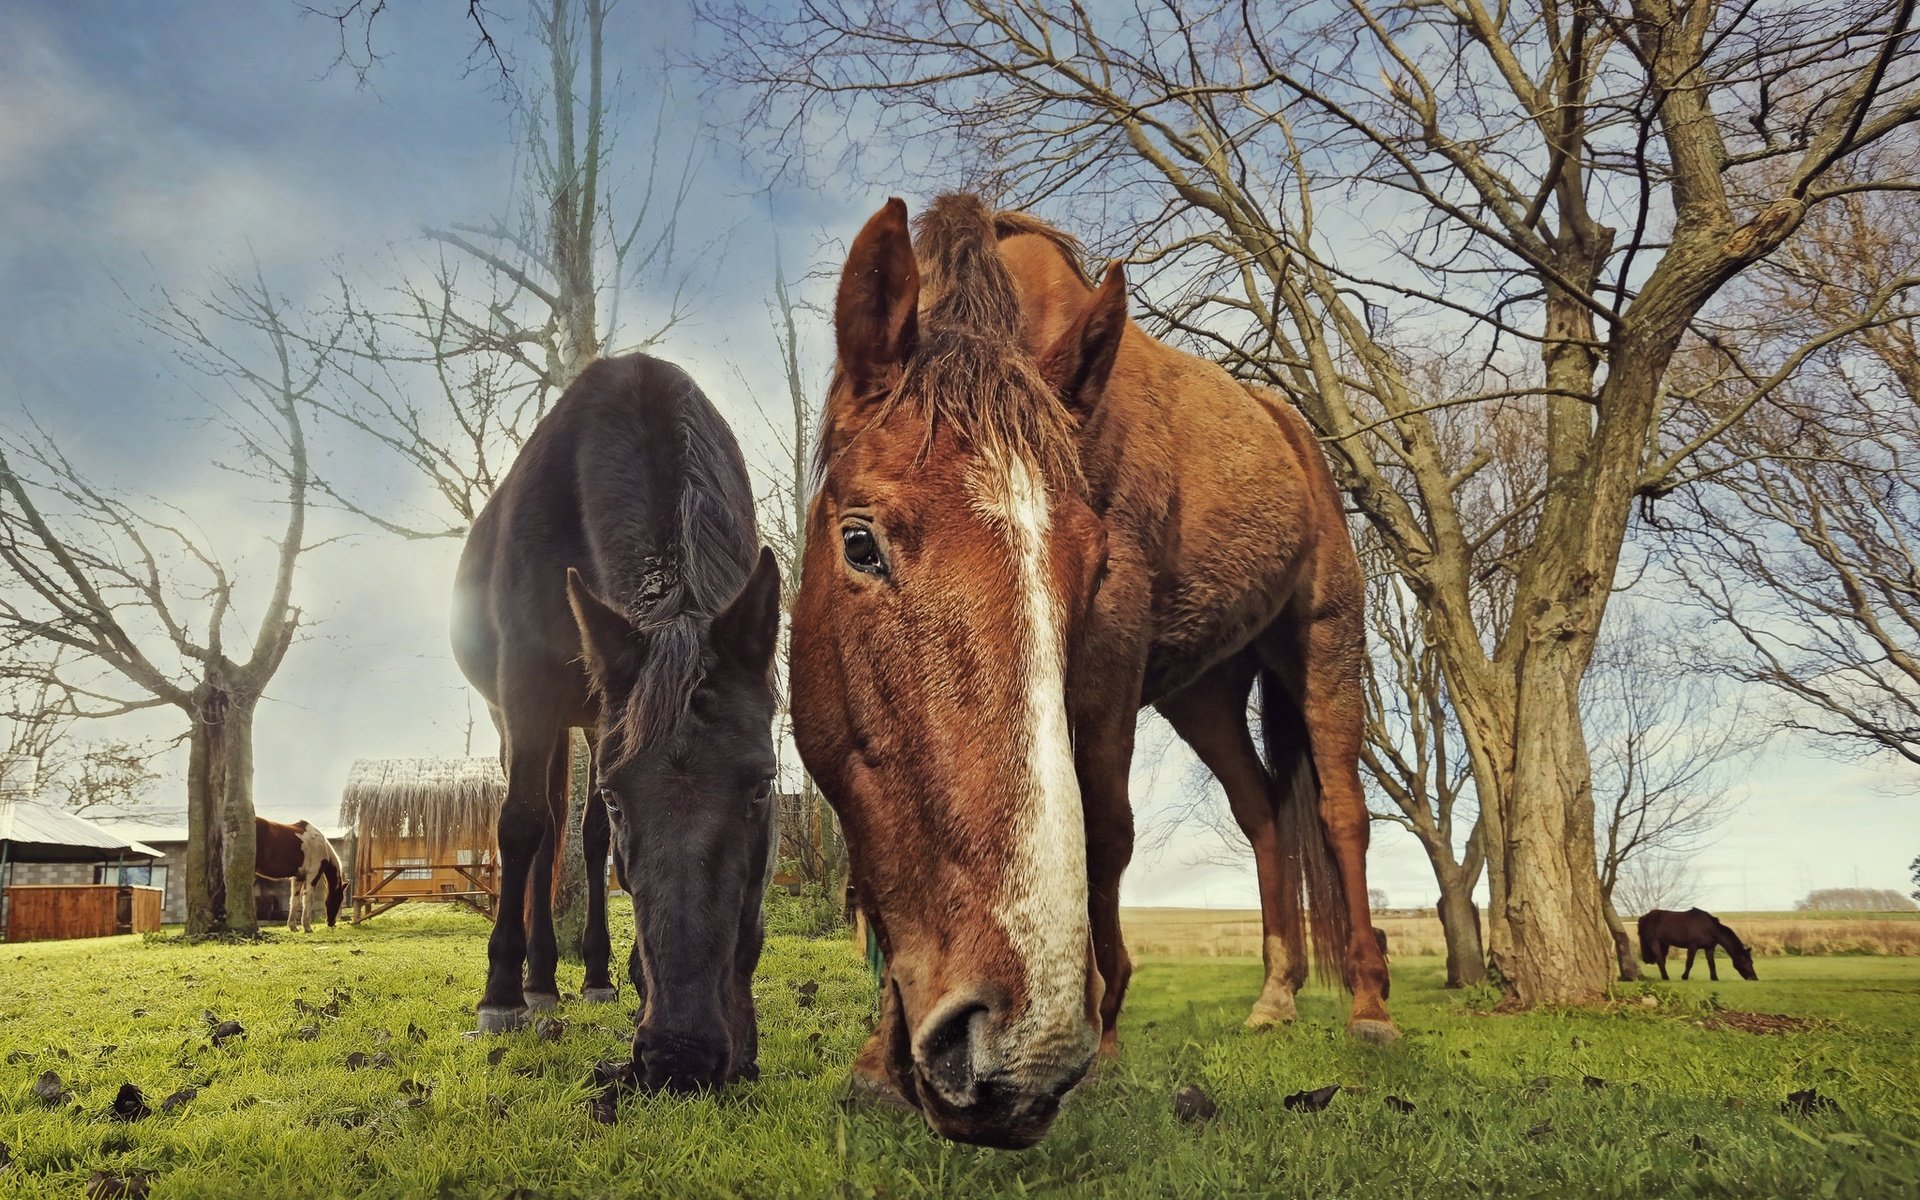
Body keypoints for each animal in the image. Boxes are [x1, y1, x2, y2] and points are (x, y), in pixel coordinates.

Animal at [451, 351, 779, 1090]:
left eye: (762, 787)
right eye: (619, 795)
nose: (681, 1055)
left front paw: (626, 976)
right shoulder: (525, 686)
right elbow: (521, 826)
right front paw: (500, 996)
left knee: (581, 839)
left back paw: (592, 976)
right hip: (521, 717)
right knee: (541, 829)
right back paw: (536, 984)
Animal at [787, 193, 1390, 1144]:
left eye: (1093, 569)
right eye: (859, 543)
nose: (1007, 1052)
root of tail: (1290, 426)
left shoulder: (1112, 647)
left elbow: (1105, 830)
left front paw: (1101, 1040)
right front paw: (879, 1060)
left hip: (1326, 643)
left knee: (1339, 814)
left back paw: (1369, 1009)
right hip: (1204, 696)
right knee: (1261, 814)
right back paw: (1274, 998)